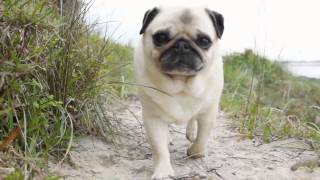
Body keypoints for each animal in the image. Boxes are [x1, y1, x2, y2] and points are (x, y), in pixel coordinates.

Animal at [134, 6, 224, 179]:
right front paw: (163, 171)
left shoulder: (208, 114)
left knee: (193, 122)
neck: (181, 84)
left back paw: (191, 133)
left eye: (204, 41)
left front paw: (194, 152)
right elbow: (160, 149)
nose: (182, 45)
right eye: (160, 37)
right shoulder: (153, 118)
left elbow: (202, 140)